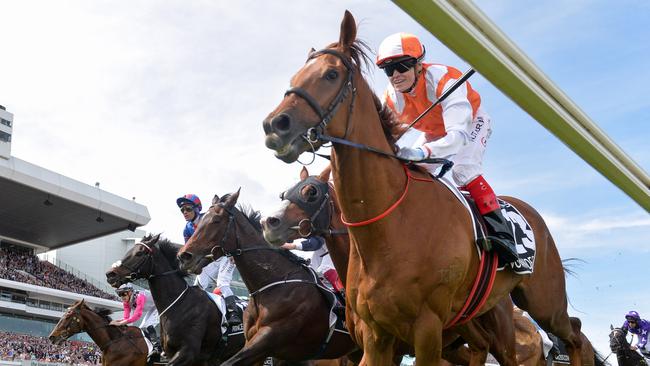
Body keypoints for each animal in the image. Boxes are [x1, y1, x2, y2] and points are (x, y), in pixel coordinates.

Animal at [106, 234, 243, 366]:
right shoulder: (175, 353)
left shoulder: (188, 352)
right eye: (129, 251)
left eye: (139, 253)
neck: (180, 305)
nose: (110, 274)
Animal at [176, 193, 360, 364]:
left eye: (216, 220)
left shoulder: (268, 339)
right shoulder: (257, 346)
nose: (184, 256)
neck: (271, 284)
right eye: (199, 223)